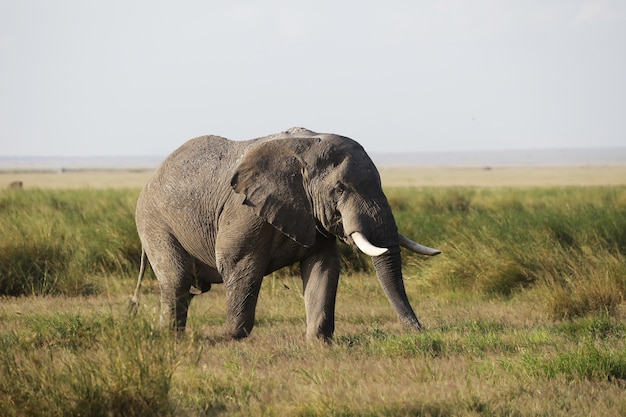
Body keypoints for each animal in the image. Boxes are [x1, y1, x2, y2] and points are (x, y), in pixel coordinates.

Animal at [130, 127, 438, 342]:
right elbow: (239, 264)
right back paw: (170, 337)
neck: (305, 150)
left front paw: (318, 342)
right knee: (177, 280)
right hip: (154, 221)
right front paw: (231, 338)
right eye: (339, 189)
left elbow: (324, 268)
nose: (419, 330)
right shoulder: (244, 211)